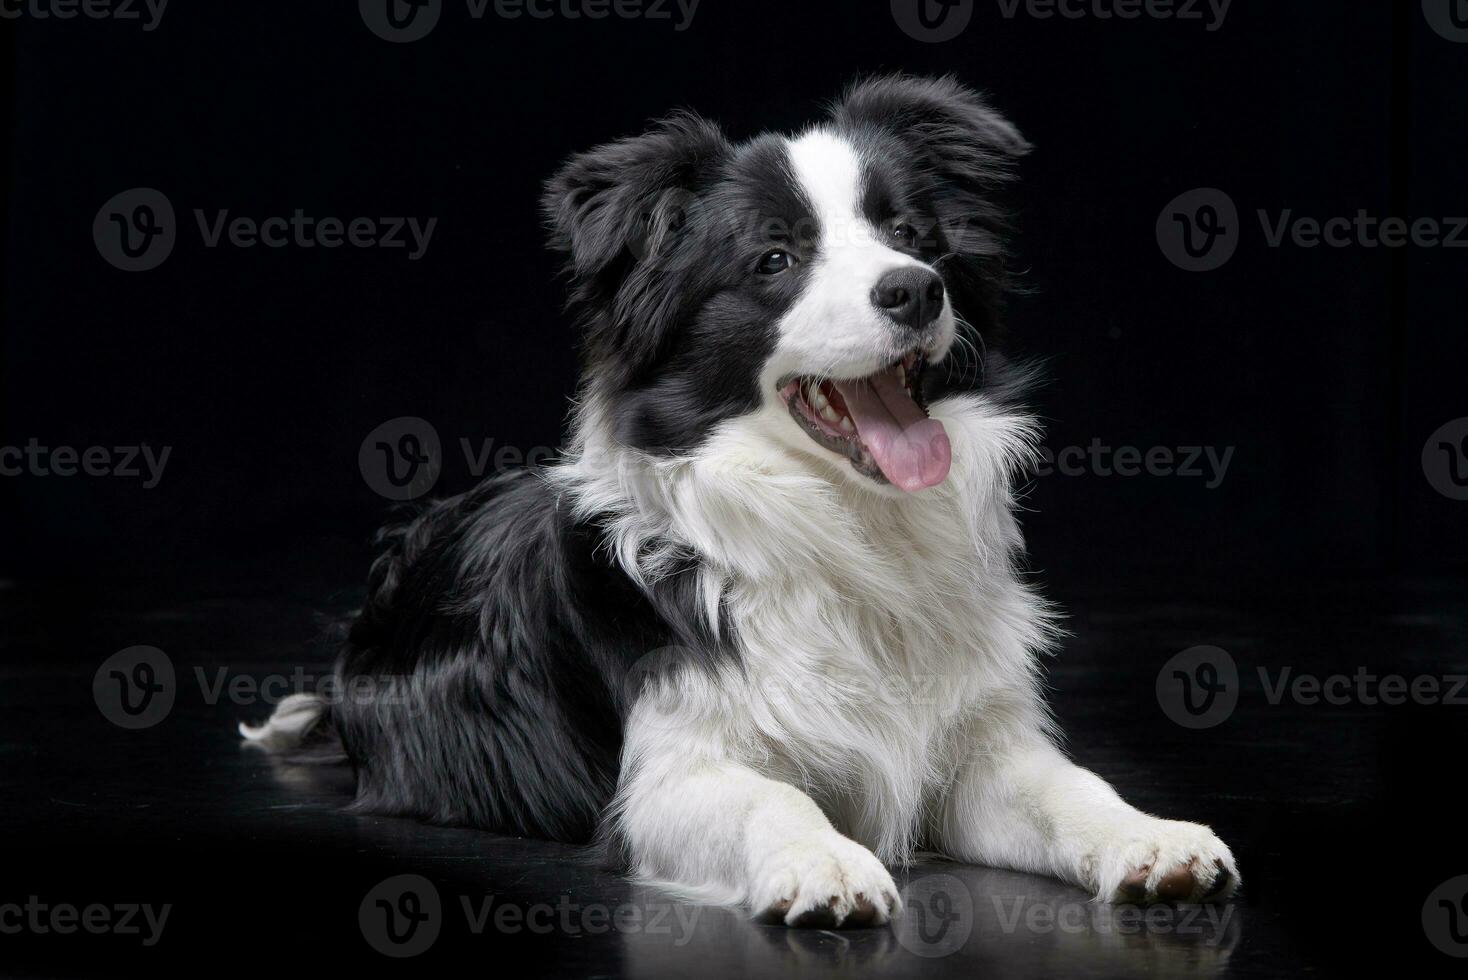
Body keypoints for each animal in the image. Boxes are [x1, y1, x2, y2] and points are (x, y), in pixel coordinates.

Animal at [246, 74, 1233, 927]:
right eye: (775, 259)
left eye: (912, 235)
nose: (915, 289)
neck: (845, 528)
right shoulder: (664, 776)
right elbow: (775, 797)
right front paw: (826, 862)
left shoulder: (975, 749)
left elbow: (1070, 785)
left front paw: (1153, 838)